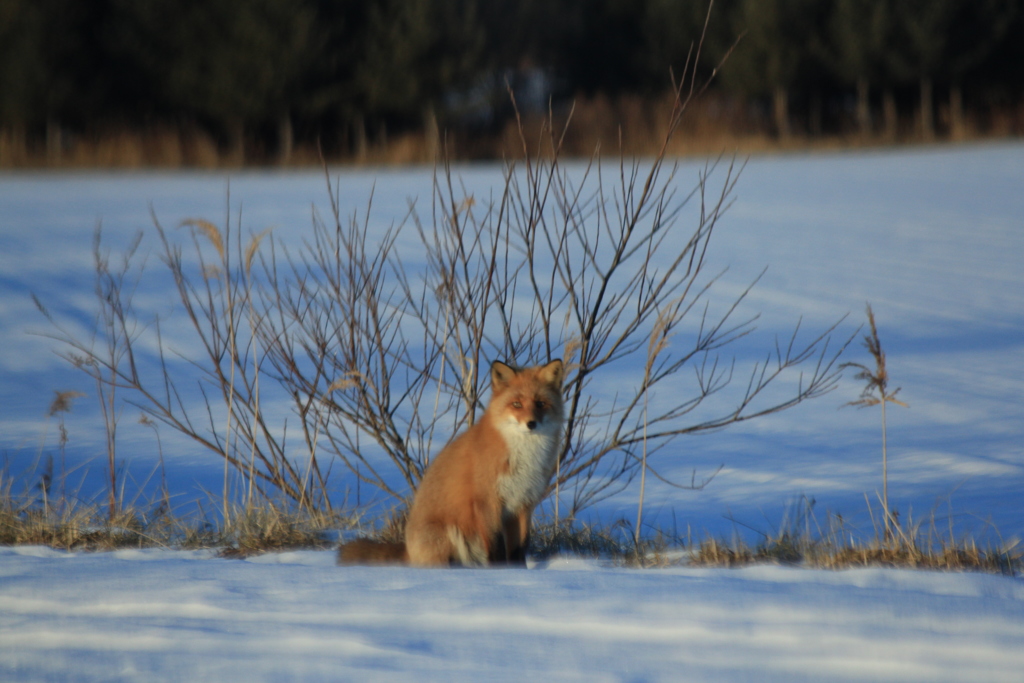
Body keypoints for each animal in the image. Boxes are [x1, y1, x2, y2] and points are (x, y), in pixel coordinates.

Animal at [337, 358, 565, 565]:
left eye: (540, 404)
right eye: (516, 404)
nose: (531, 424)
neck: (524, 457)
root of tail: (408, 550)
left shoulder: (524, 504)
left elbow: (519, 549)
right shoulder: (487, 501)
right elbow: (496, 548)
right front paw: (500, 573)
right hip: (449, 533)